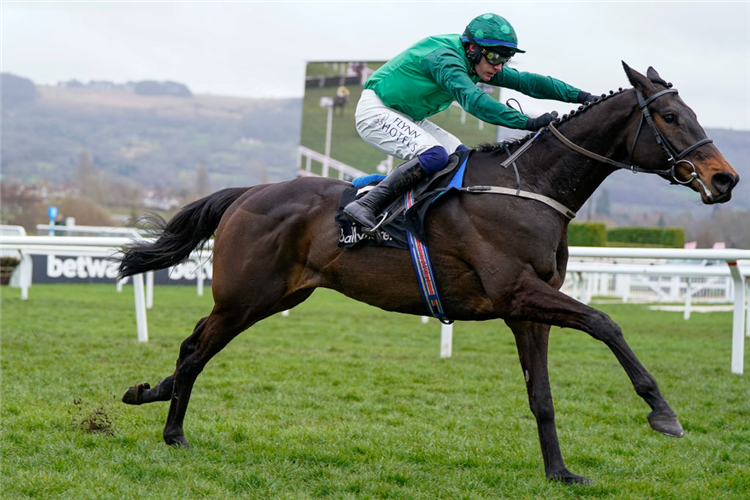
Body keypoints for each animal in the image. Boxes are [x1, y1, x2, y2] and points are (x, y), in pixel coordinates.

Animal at [117, 63, 740, 484]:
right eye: (669, 116)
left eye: (692, 113)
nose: (725, 178)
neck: (528, 188)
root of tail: (249, 193)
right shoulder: (518, 291)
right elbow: (607, 323)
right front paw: (663, 412)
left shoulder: (527, 309)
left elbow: (541, 394)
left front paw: (560, 472)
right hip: (246, 296)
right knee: (197, 348)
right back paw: (170, 426)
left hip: (268, 297)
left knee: (194, 343)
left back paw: (156, 399)